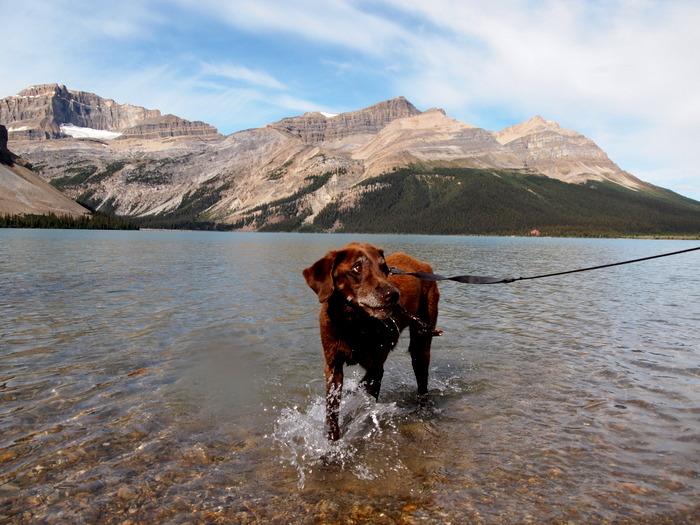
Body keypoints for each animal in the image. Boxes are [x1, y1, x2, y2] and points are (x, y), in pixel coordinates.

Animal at [300, 244, 438, 440]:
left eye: (384, 268)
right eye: (357, 267)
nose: (393, 295)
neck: (352, 326)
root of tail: (424, 264)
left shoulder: (376, 366)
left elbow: (365, 398)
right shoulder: (333, 365)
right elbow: (332, 408)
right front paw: (331, 439)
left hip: (422, 339)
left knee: (422, 381)